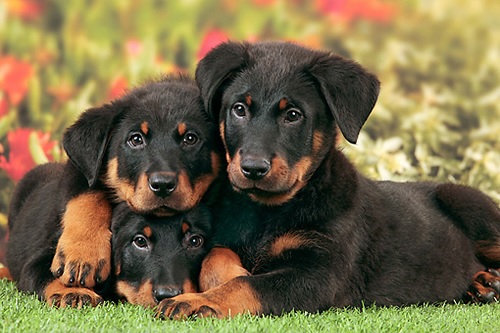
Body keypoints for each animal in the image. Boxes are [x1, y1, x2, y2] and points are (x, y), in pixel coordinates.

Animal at [157, 40, 500, 318]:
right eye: (239, 109)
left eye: (293, 115)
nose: (253, 168)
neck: (267, 210)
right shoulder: (225, 238)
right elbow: (216, 259)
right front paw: (225, 277)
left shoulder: (320, 275)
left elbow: (247, 286)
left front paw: (195, 301)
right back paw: (484, 282)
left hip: (472, 206)